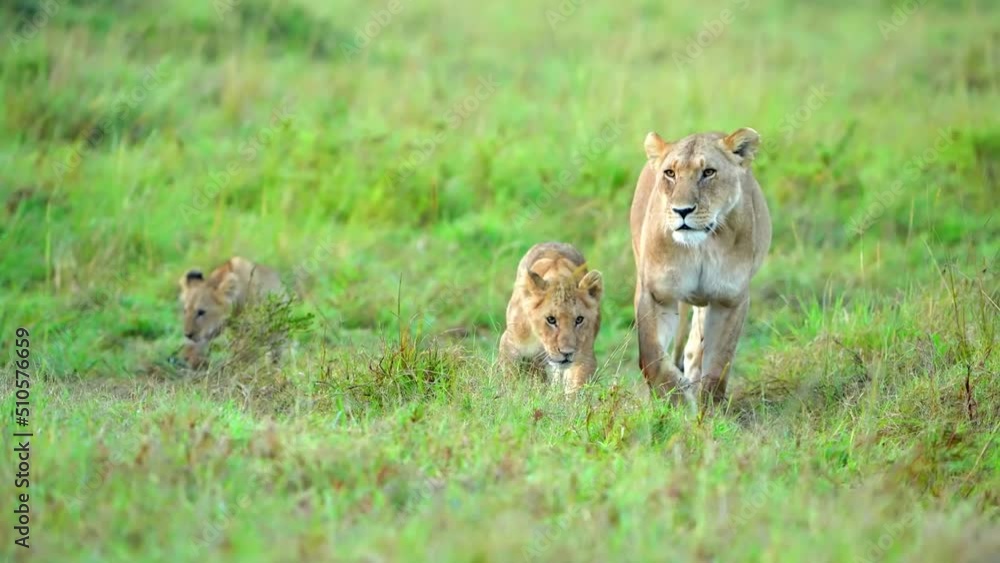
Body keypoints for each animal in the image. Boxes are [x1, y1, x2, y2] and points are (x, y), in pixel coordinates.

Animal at [499, 242, 604, 395]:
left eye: (579, 319)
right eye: (551, 319)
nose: (567, 353)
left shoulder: (585, 355)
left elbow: (577, 387)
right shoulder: (509, 343)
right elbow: (509, 377)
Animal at [630, 128, 771, 405]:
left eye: (708, 172)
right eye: (670, 173)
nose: (682, 210)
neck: (700, 248)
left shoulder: (730, 300)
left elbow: (718, 364)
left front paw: (706, 409)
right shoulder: (655, 294)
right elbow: (651, 357)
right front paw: (676, 400)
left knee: (696, 345)